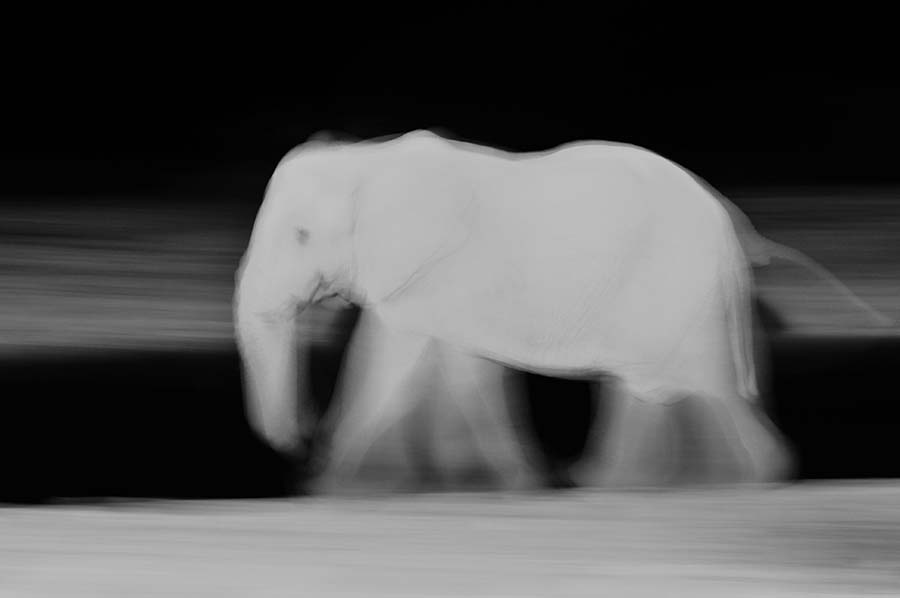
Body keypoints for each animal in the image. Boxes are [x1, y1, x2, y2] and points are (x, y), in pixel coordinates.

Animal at [234, 129, 797, 493]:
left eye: (301, 235)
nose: (301, 438)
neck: (368, 160)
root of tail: (729, 221)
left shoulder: (439, 268)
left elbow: (393, 367)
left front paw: (331, 483)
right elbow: (451, 367)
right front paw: (486, 480)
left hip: (677, 282)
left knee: (688, 381)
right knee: (660, 383)